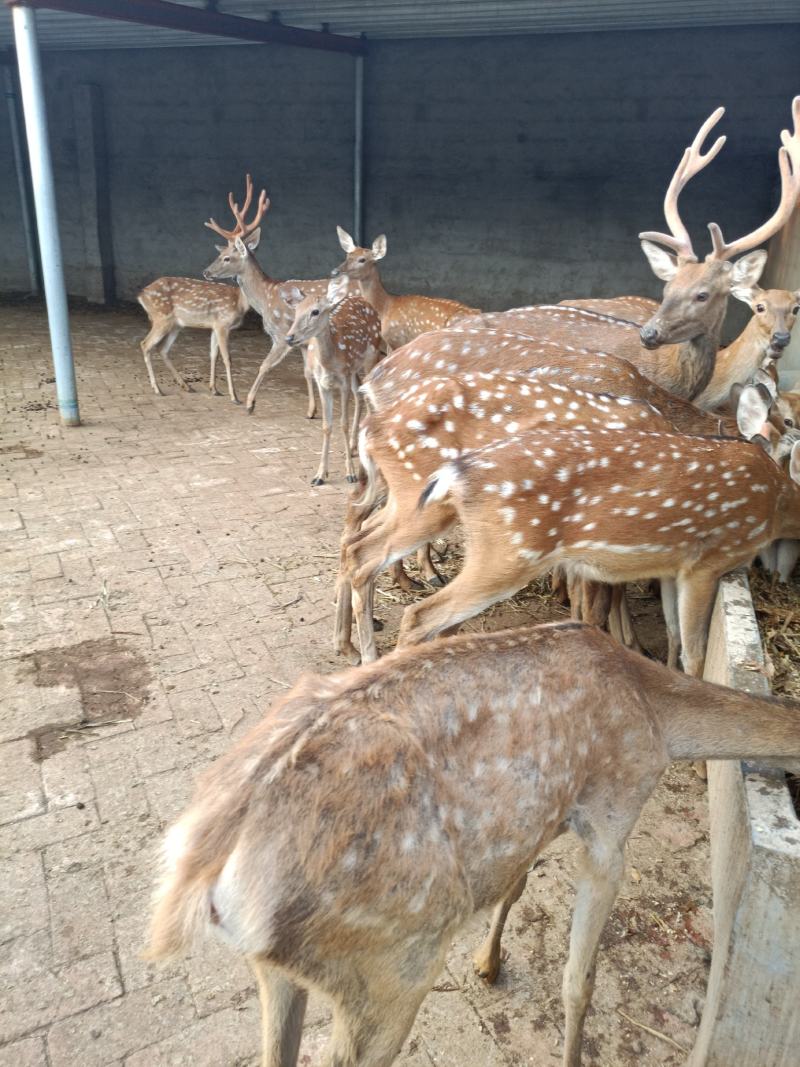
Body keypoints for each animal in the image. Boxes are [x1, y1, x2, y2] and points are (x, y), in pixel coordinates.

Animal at [145, 621, 800, 1067]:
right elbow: (578, 982)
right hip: (392, 966)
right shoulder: (612, 814)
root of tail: (201, 874)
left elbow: (516, 884)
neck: (660, 719)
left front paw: (489, 963)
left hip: (276, 969)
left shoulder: (542, 816)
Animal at [202, 174, 330, 418]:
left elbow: (264, 365)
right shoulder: (301, 341)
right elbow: (307, 372)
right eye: (220, 253)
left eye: (226, 257)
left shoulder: (281, 334)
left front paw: (249, 403)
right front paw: (311, 411)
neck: (264, 299)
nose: (206, 272)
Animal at [278, 277, 382, 485]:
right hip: (353, 370)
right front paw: (319, 475)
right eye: (296, 311)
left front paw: (350, 473)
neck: (328, 362)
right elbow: (327, 426)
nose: (289, 337)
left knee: (368, 395)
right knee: (359, 394)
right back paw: (353, 447)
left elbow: (343, 423)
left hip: (370, 356)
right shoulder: (322, 383)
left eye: (315, 311)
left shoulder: (342, 382)